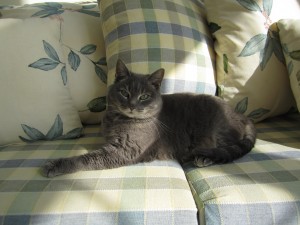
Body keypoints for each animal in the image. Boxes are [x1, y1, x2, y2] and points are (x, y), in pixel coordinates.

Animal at [41, 59, 255, 178]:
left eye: (144, 96)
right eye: (124, 92)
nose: (132, 105)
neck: (117, 120)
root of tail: (240, 115)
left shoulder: (125, 149)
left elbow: (88, 158)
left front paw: (56, 165)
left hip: (216, 131)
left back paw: (203, 157)